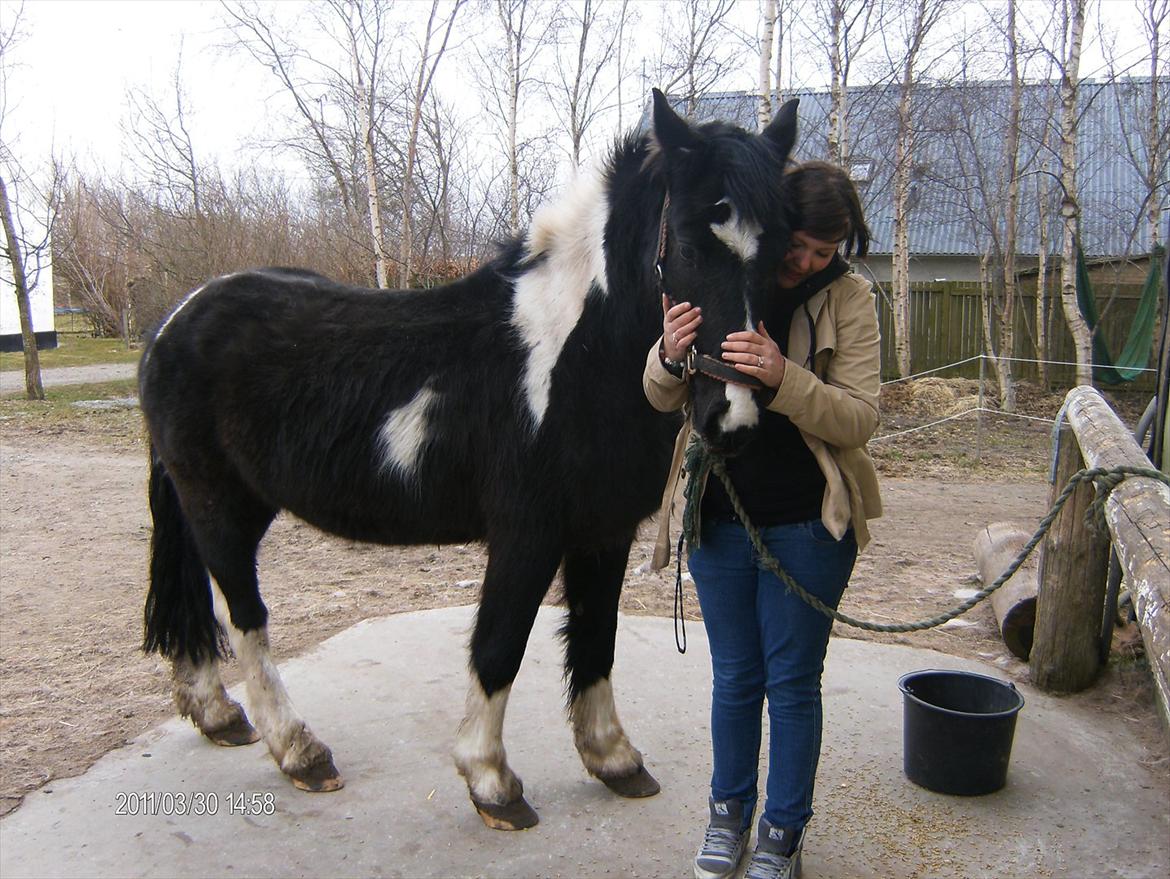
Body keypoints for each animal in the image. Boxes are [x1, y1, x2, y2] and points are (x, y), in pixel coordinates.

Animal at [134, 91, 795, 833]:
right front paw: (491, 781)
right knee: (244, 615)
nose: (732, 416)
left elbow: (597, 638)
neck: (572, 359)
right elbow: (499, 646)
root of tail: (173, 321)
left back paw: (217, 714)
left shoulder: (603, 531)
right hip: (220, 506)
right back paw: (299, 750)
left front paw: (614, 759)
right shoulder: (526, 534)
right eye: (684, 242)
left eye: (778, 248)